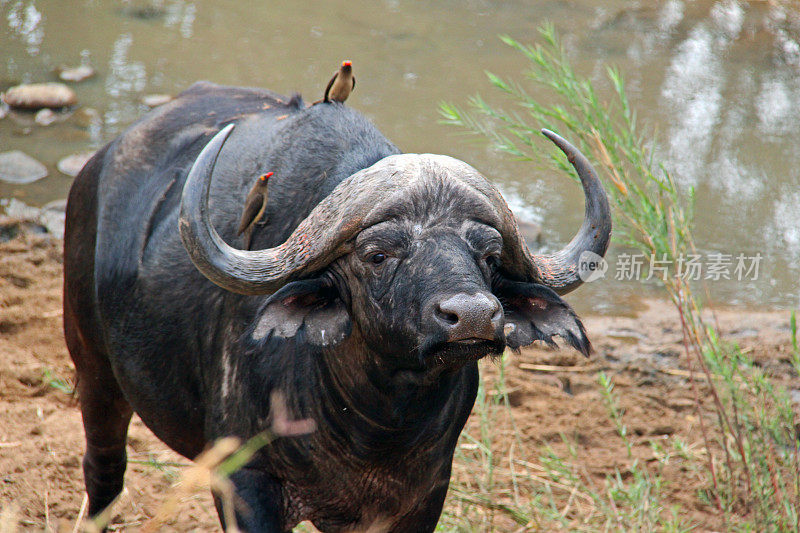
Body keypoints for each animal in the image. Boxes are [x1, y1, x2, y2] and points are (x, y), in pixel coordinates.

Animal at [64, 81, 612, 528]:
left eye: (490, 257)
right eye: (378, 254)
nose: (474, 315)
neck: (376, 424)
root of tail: (96, 167)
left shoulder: (424, 495)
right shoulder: (246, 480)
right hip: (94, 367)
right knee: (104, 470)